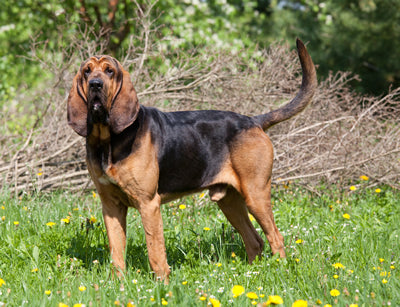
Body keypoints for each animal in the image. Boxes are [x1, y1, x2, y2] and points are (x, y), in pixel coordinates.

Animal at [67, 38, 318, 282]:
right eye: (87, 72)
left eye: (109, 71)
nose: (95, 84)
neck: (107, 140)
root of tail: (254, 121)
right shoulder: (111, 206)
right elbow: (117, 254)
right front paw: (119, 285)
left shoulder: (149, 204)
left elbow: (155, 253)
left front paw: (163, 286)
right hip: (230, 201)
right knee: (255, 240)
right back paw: (251, 274)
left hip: (255, 194)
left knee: (276, 237)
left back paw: (280, 271)